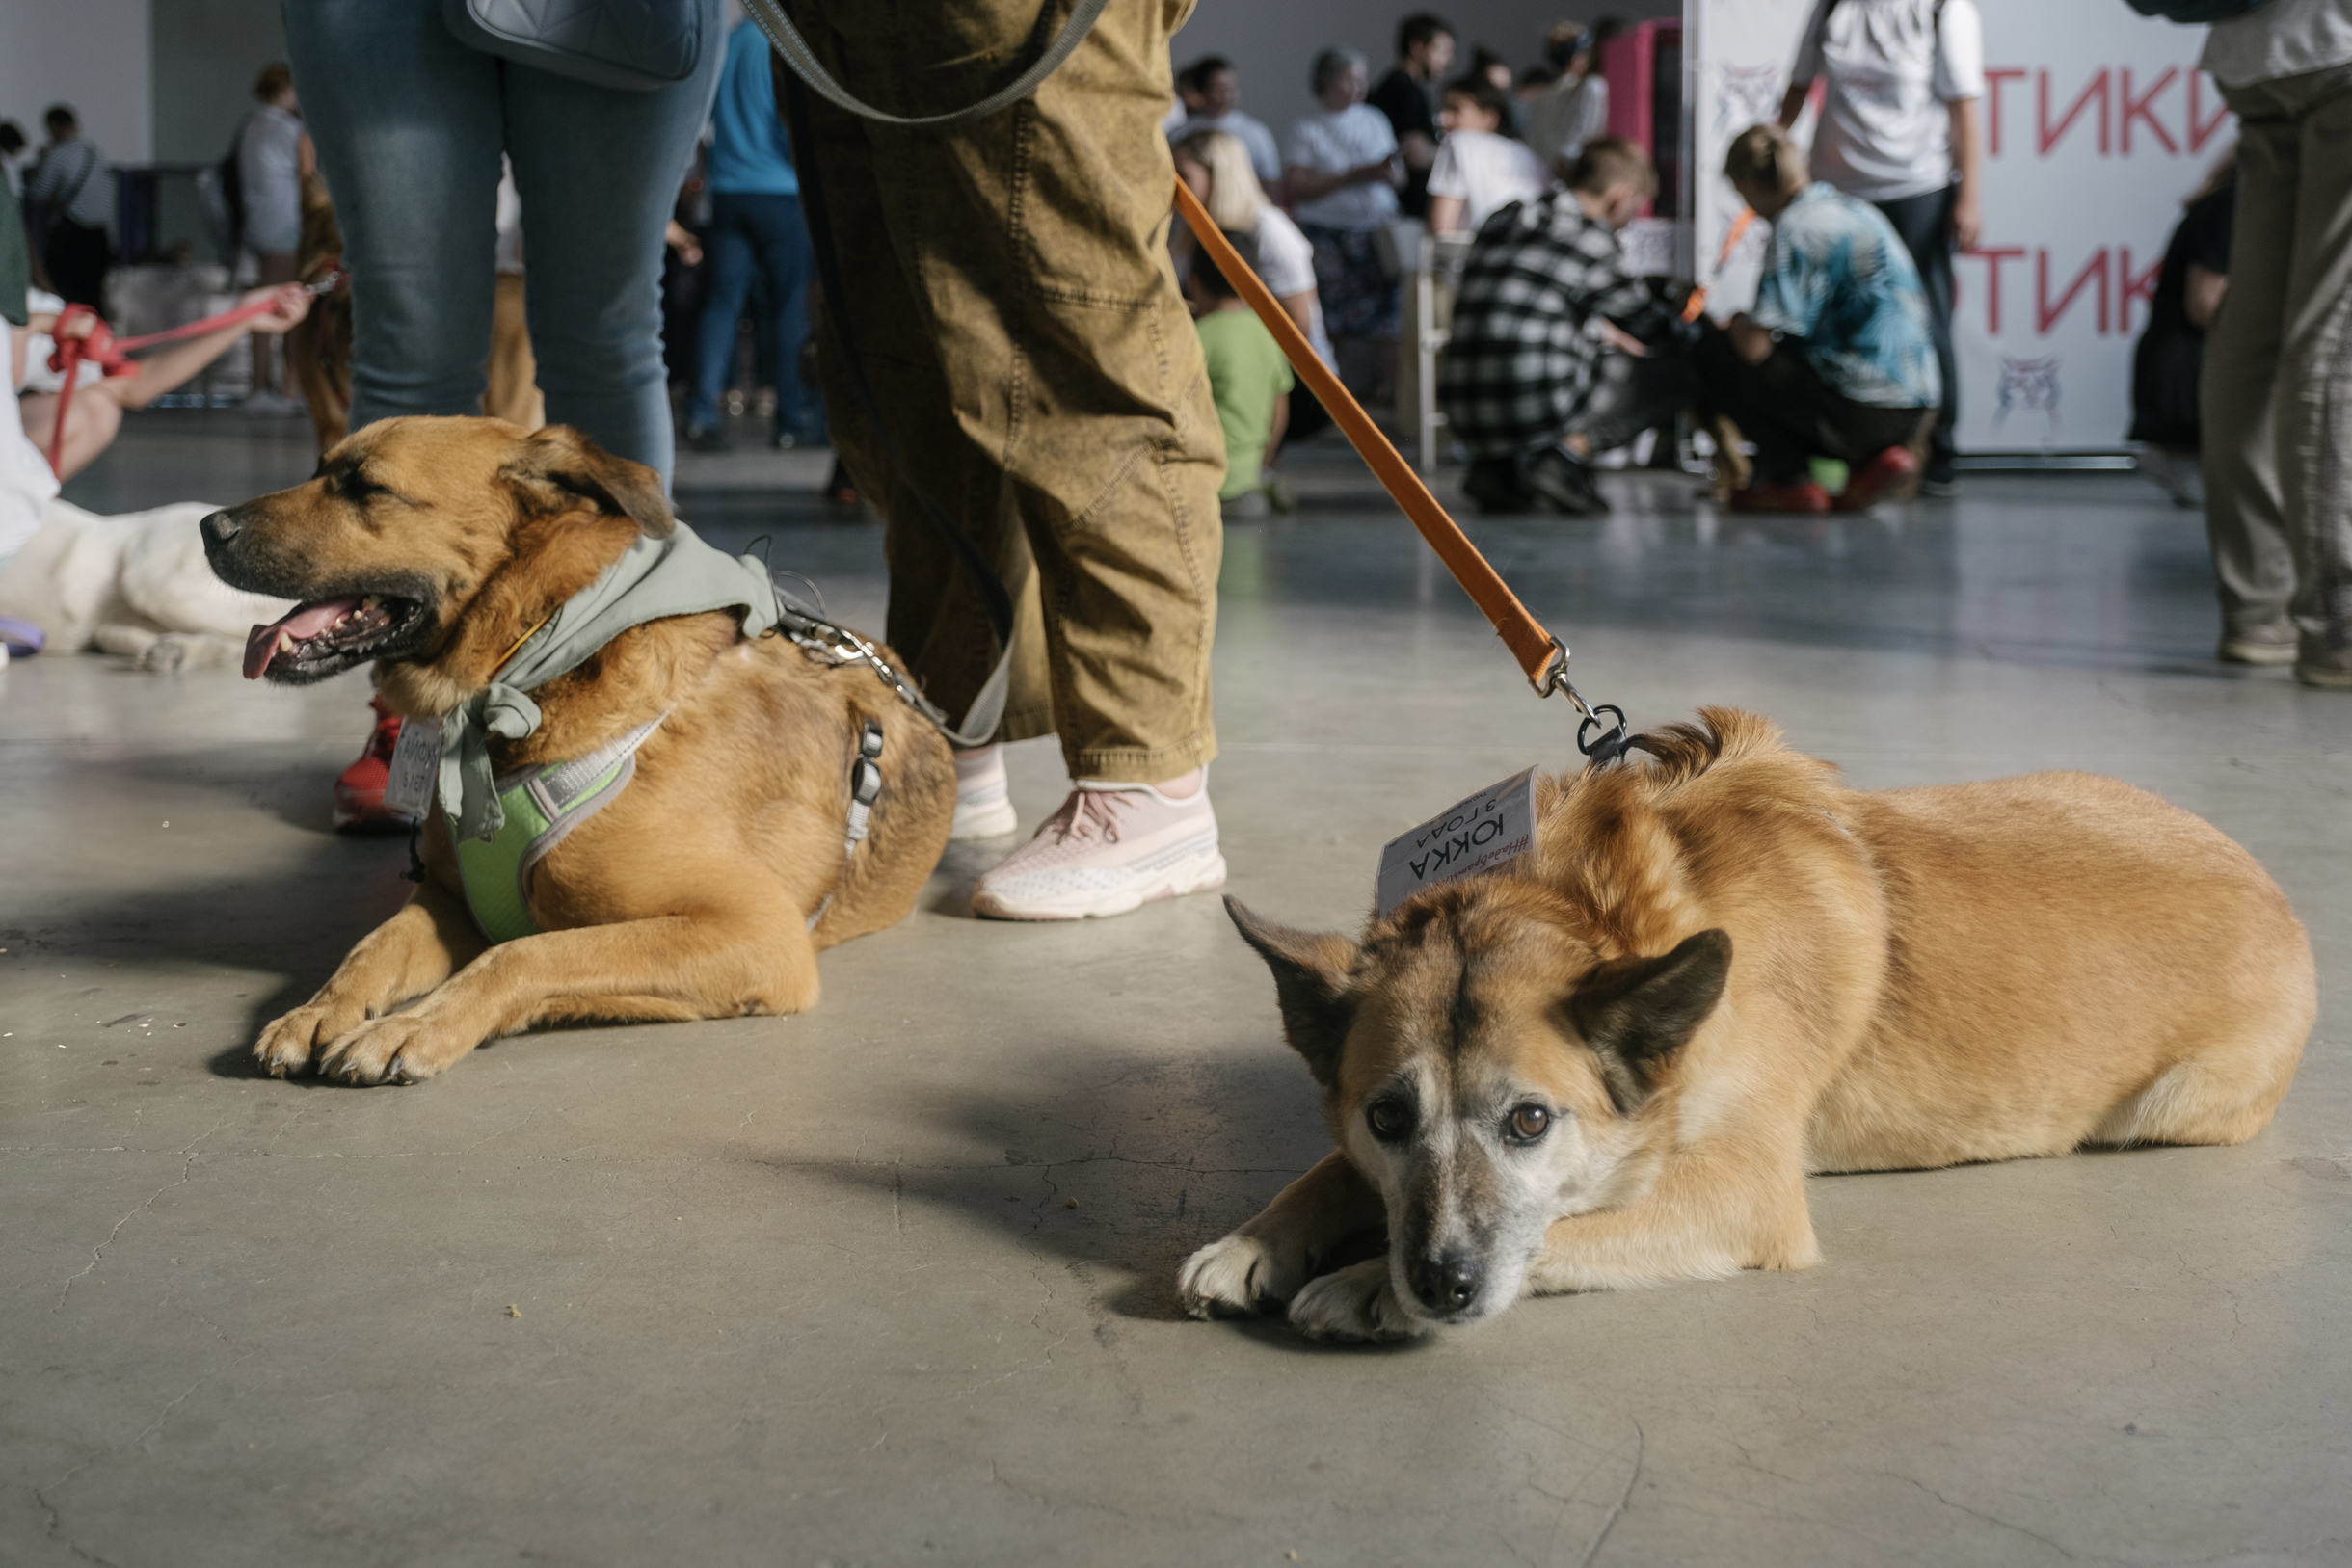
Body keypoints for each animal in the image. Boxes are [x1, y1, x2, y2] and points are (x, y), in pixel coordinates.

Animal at [195, 411, 945, 1085]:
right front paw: (321, 1009)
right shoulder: (444, 900)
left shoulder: (757, 934)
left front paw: (417, 1025)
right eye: (322, 470)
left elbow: (528, 954)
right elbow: (370, 948)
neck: (530, 672)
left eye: (367, 487)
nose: (208, 527)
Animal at [1176, 709, 2313, 1335]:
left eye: (1530, 1122)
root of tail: (2283, 898)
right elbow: (1327, 1170)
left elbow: (1567, 1229)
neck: (1603, 905)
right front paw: (1254, 1241)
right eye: (1387, 1119)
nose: (1439, 1282)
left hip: (2160, 1107)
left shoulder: (1743, 1193)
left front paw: (1366, 1282)